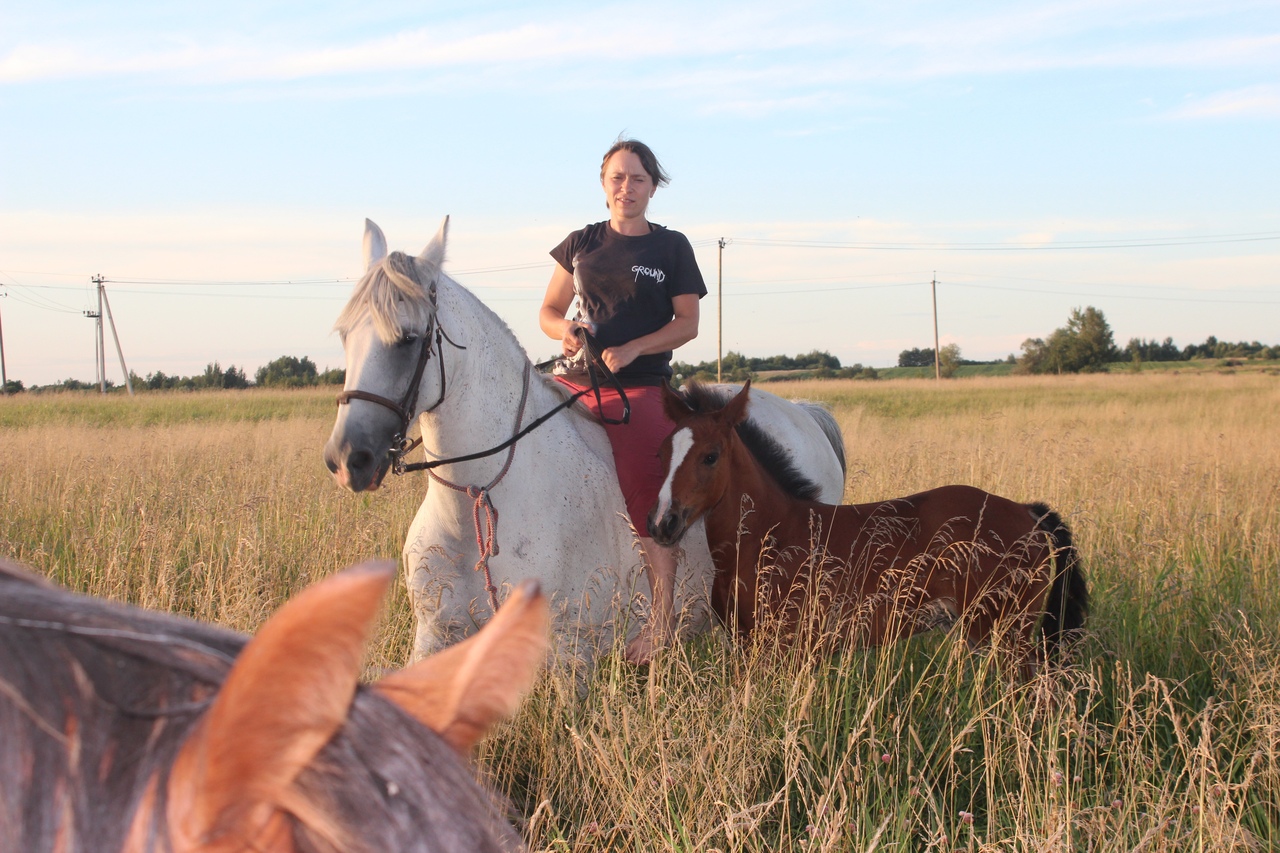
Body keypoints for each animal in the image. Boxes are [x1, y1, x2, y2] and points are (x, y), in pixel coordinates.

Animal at [323, 218, 848, 663]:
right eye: (344, 335)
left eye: (409, 338)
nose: (349, 459)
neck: (483, 494)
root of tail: (805, 413)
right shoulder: (436, 636)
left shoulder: (571, 652)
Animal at [647, 381, 1089, 671]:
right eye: (663, 452)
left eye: (711, 456)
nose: (663, 523)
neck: (772, 535)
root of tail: (1028, 513)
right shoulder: (746, 644)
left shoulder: (786, 647)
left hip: (1009, 631)